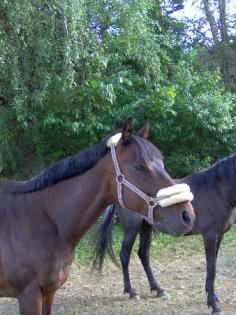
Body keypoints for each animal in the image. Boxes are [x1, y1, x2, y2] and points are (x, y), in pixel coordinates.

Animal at [0, 119, 195, 315]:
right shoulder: (29, 295)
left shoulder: (49, 293)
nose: (187, 216)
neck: (42, 221)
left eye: (162, 163)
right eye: (139, 166)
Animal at [92, 153, 236, 315]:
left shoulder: (219, 235)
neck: (217, 190)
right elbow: (212, 268)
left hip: (146, 227)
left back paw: (158, 289)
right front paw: (213, 305)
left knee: (143, 254)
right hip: (131, 228)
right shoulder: (210, 235)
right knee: (125, 255)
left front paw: (212, 296)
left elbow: (213, 265)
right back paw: (131, 292)